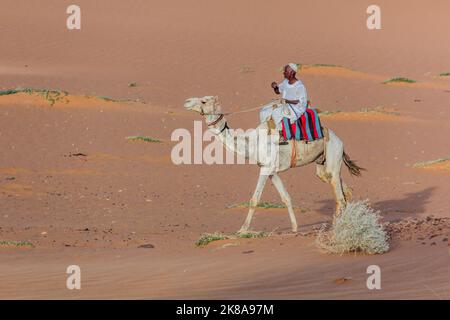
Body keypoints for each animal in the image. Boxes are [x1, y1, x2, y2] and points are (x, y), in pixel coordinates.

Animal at [185, 95, 364, 232]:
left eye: (204, 101)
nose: (186, 101)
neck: (252, 143)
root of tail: (340, 141)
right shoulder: (271, 170)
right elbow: (286, 198)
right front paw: (294, 228)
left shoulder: (265, 168)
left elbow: (254, 199)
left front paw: (242, 230)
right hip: (323, 164)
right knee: (343, 189)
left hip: (333, 154)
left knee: (340, 196)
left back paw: (337, 227)